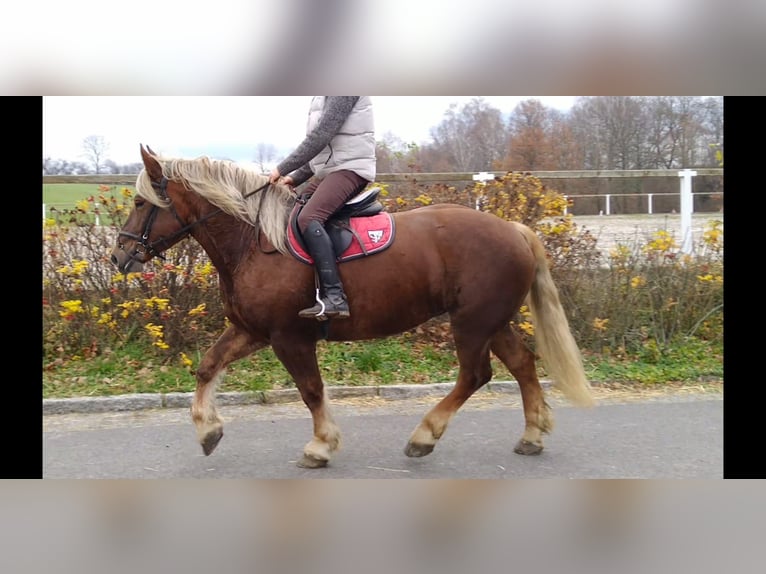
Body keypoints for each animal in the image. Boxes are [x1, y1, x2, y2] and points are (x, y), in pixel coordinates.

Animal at [112, 146, 592, 470]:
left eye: (139, 203)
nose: (120, 257)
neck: (254, 242)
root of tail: (513, 229)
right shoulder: (252, 332)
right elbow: (208, 367)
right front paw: (208, 430)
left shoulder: (289, 338)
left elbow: (311, 391)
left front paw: (320, 445)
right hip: (492, 321)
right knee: (523, 365)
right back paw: (531, 436)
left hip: (473, 323)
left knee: (476, 375)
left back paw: (424, 437)